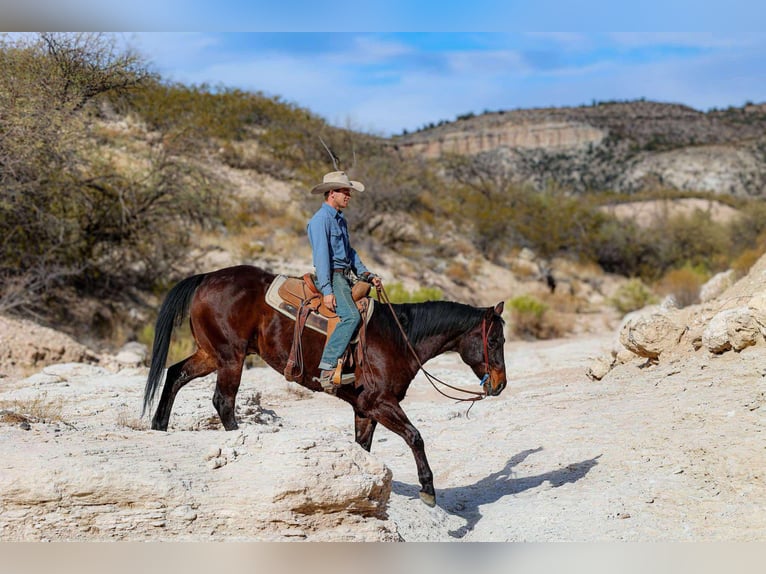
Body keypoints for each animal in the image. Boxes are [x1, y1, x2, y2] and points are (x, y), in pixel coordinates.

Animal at [143, 265, 508, 506]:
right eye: (495, 340)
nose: (501, 384)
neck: (399, 336)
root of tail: (207, 277)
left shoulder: (365, 410)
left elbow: (363, 448)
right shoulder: (380, 402)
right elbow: (415, 437)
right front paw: (428, 490)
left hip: (210, 354)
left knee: (175, 374)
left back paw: (159, 426)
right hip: (230, 358)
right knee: (223, 401)